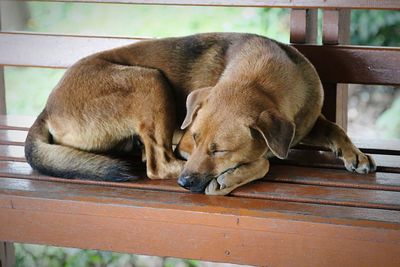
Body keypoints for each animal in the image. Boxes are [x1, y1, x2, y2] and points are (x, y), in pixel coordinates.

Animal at [24, 33, 376, 197]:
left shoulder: (303, 123)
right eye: (194, 137)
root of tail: (46, 109)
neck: (263, 76)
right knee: (157, 165)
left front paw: (355, 154)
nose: (185, 183)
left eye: (219, 150)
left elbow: (334, 127)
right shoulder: (184, 143)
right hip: (149, 80)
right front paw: (230, 177)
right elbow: (263, 161)